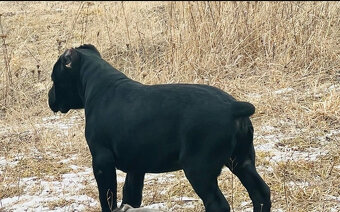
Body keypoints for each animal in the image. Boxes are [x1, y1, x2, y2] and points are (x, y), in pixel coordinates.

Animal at [48, 44, 270, 211]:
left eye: (54, 78)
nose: (49, 95)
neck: (98, 86)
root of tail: (233, 107)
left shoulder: (102, 162)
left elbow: (108, 199)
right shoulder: (136, 167)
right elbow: (130, 197)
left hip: (200, 170)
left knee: (218, 204)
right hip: (242, 162)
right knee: (261, 193)